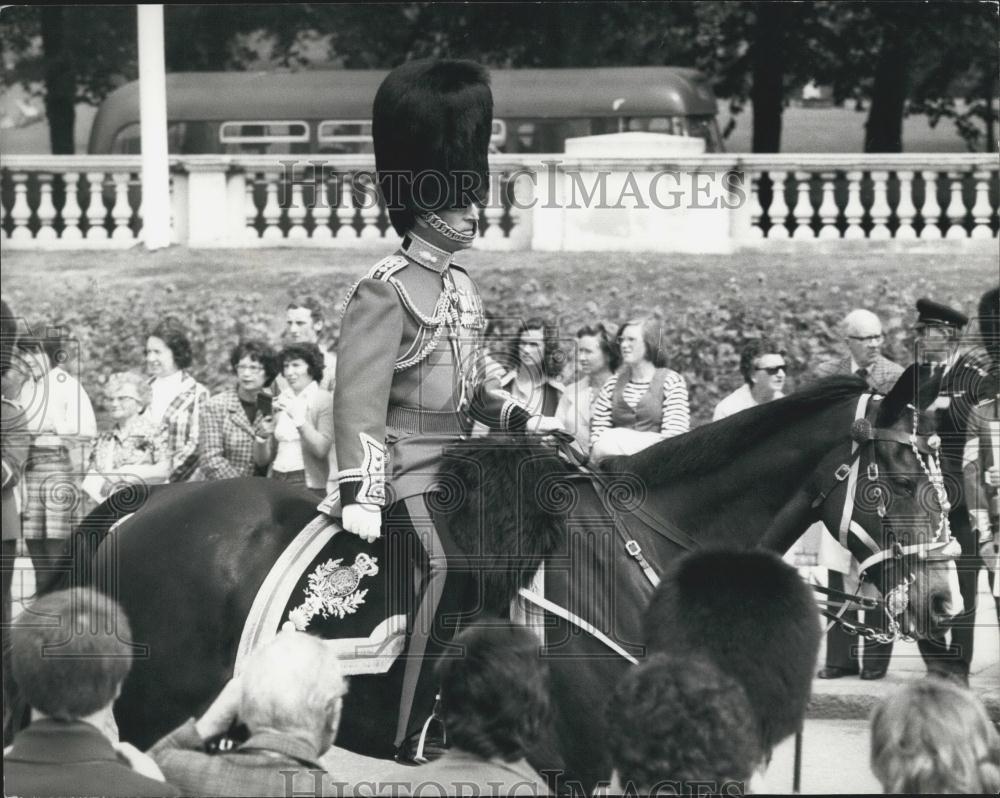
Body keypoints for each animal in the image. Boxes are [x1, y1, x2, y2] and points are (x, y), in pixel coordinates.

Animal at [5, 370, 960, 792]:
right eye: (903, 476)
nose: (946, 600)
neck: (638, 566)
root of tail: (143, 506)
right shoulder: (583, 770)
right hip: (152, 714)